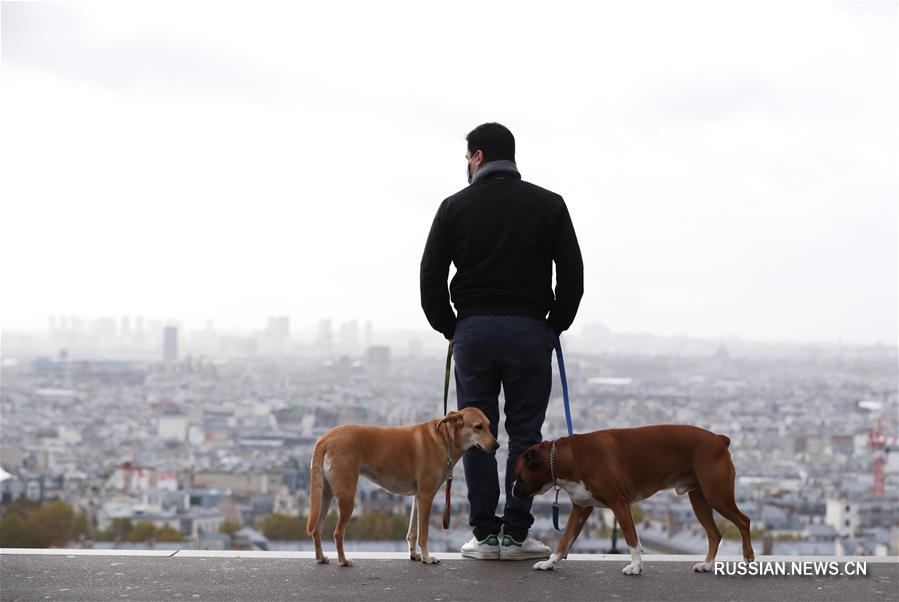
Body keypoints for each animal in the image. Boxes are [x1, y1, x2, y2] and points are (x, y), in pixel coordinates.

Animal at [308, 406, 500, 564]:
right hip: (347, 496)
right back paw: (343, 561)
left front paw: (415, 555)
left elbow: (413, 532)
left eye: (489, 425)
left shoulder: (417, 497)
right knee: (337, 533)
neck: (446, 438)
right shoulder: (426, 496)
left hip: (325, 495)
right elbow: (423, 533)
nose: (497, 445)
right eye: (478, 427)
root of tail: (324, 439)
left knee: (317, 529)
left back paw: (321, 558)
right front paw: (427, 558)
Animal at [510, 424, 756, 576]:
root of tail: (719, 439)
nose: (512, 490)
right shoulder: (581, 510)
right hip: (700, 501)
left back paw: (748, 558)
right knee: (715, 534)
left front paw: (636, 567)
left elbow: (631, 540)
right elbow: (564, 542)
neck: (567, 457)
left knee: (744, 521)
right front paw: (549, 563)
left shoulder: (619, 504)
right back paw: (706, 565)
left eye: (518, 475)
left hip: (717, 496)